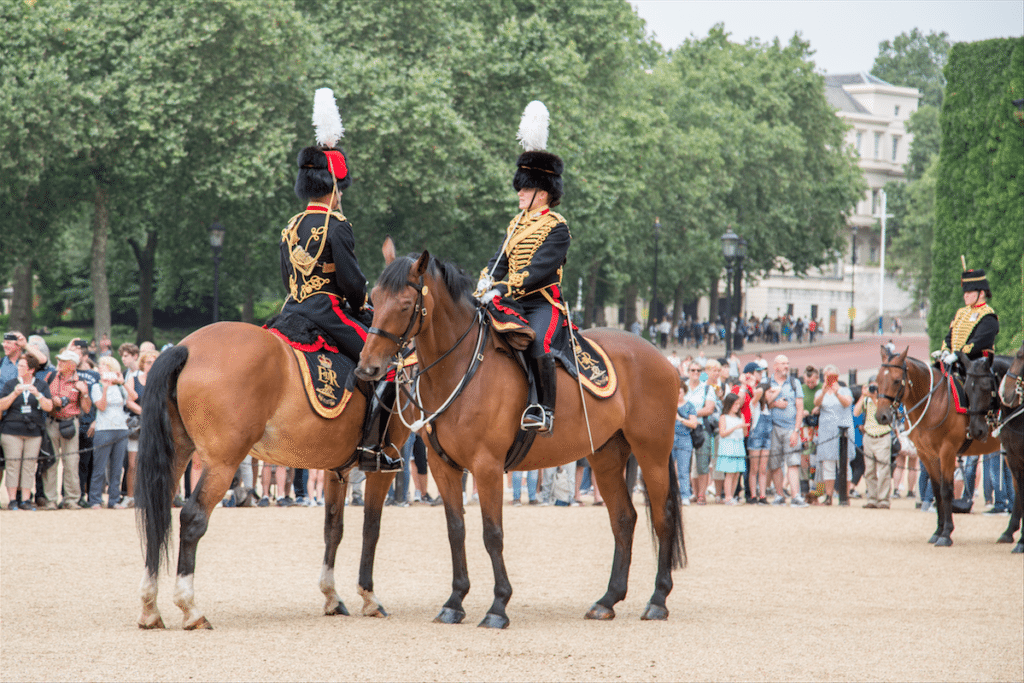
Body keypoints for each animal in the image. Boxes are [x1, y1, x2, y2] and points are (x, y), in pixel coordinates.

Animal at [134, 325, 405, 630]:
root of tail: (187, 347)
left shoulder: (337, 470)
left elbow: (333, 529)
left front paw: (332, 597)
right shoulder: (384, 466)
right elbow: (371, 529)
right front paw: (369, 598)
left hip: (178, 454)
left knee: (157, 514)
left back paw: (149, 608)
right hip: (222, 464)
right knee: (192, 518)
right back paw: (190, 608)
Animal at [356, 244, 684, 630]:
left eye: (406, 304)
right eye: (374, 299)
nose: (368, 368)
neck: (460, 366)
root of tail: (661, 358)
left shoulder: (487, 466)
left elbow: (492, 533)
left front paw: (498, 606)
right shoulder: (443, 466)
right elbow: (456, 530)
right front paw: (454, 602)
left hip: (652, 452)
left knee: (663, 516)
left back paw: (658, 600)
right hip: (604, 455)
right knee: (624, 518)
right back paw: (608, 600)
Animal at [876, 348, 1003, 544]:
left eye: (897, 380)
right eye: (877, 380)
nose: (881, 416)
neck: (935, 402)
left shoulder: (947, 452)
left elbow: (946, 490)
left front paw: (946, 534)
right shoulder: (927, 454)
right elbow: (936, 491)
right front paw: (938, 531)